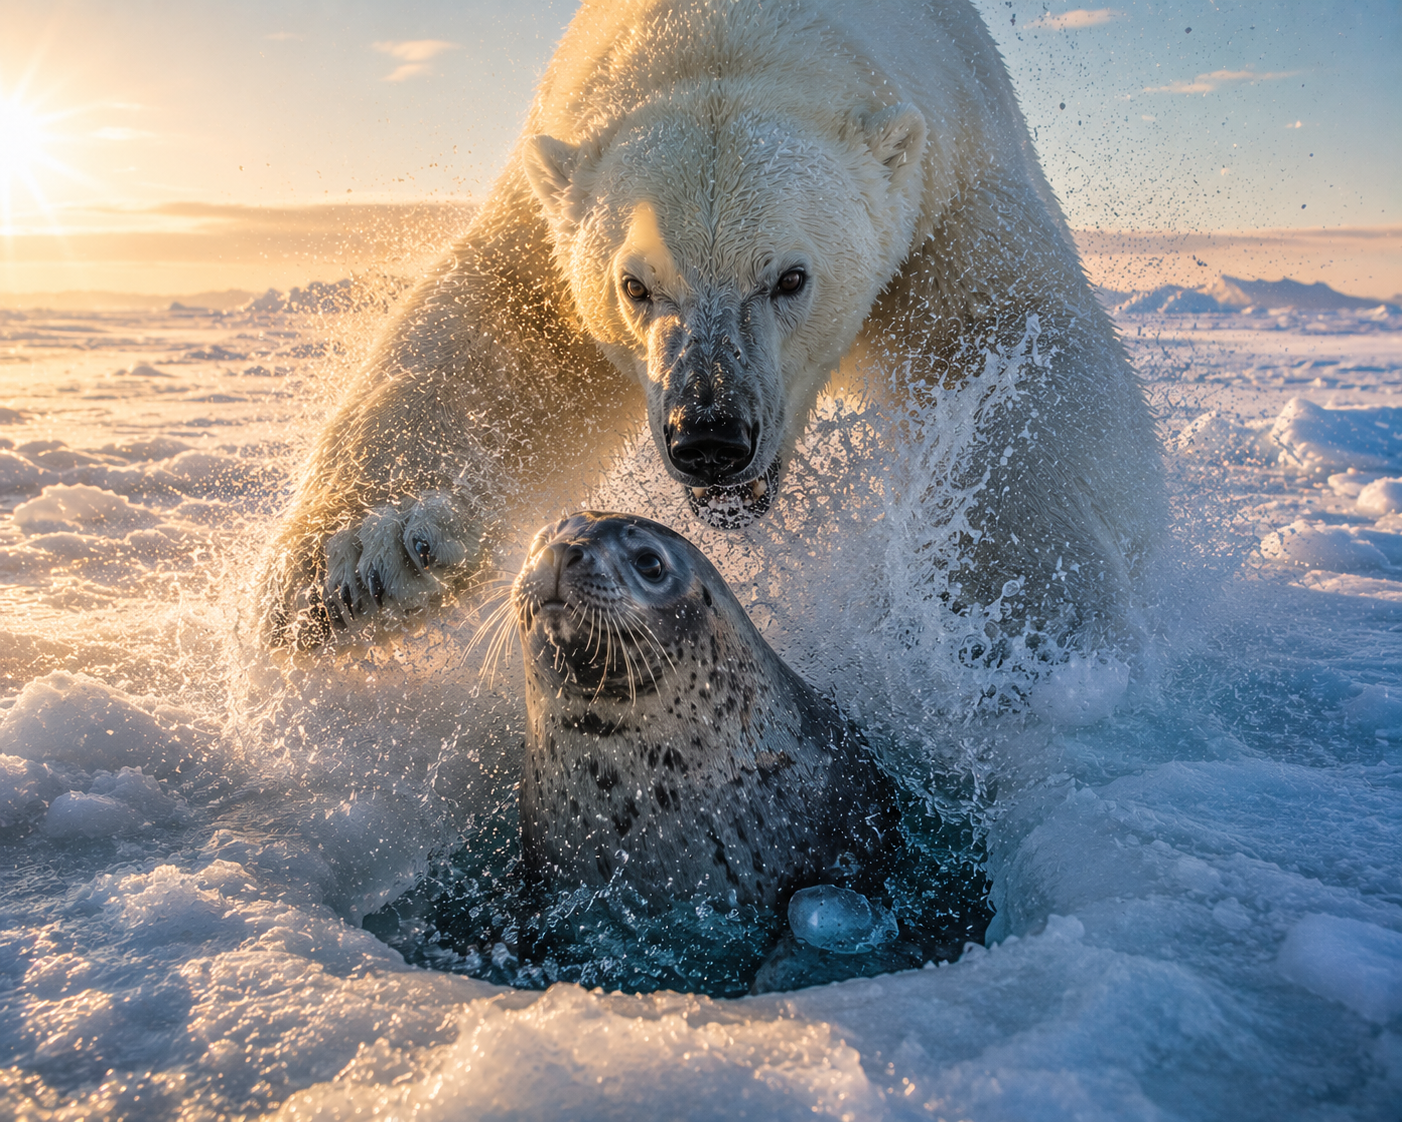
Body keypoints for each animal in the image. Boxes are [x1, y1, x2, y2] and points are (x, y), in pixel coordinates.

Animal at [257, 0, 1164, 658]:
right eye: (636, 285)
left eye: (790, 277)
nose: (711, 437)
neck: (735, 23)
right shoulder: (558, 201)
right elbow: (499, 341)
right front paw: (360, 566)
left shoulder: (946, 186)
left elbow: (1009, 338)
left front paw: (1013, 608)